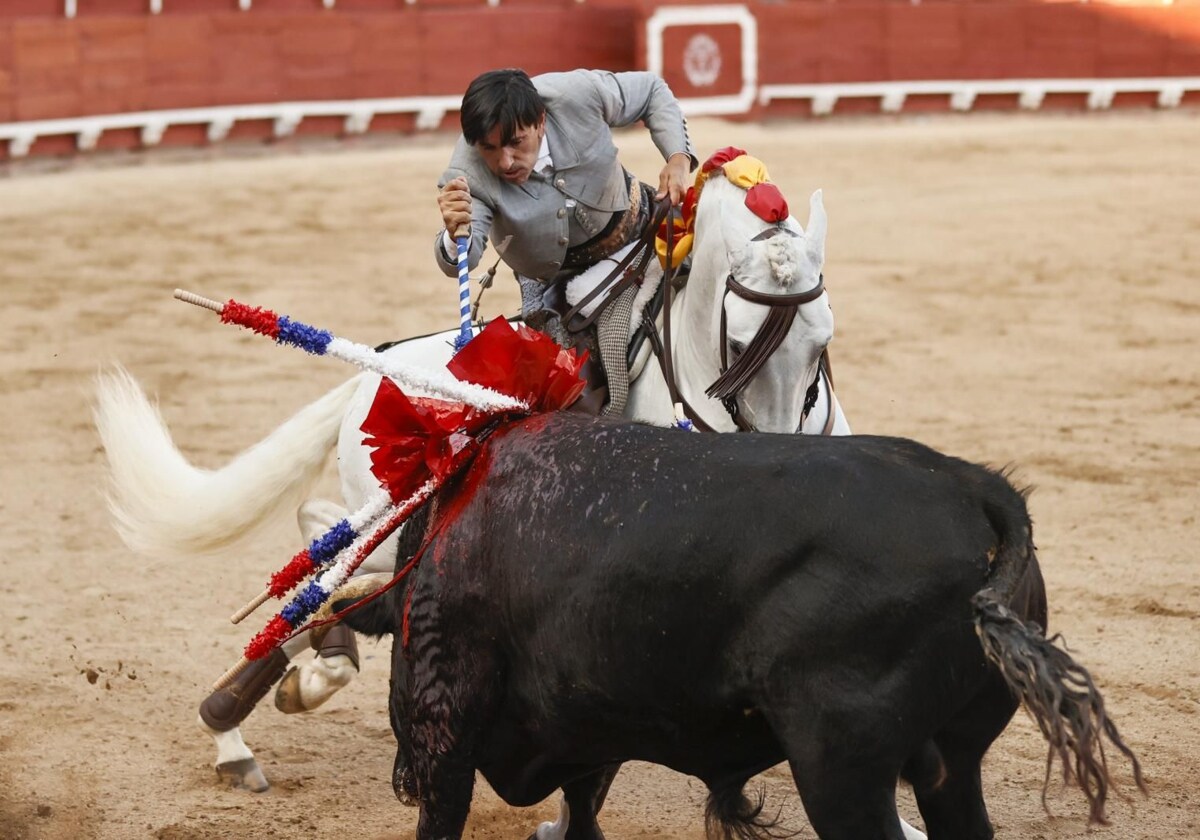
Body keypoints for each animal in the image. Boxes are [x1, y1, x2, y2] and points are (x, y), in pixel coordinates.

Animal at [343, 412, 1137, 840]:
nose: (400, 780)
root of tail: (976, 487)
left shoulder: (449, 726)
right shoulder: (590, 730)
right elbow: (584, 811)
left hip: (841, 765)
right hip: (951, 762)